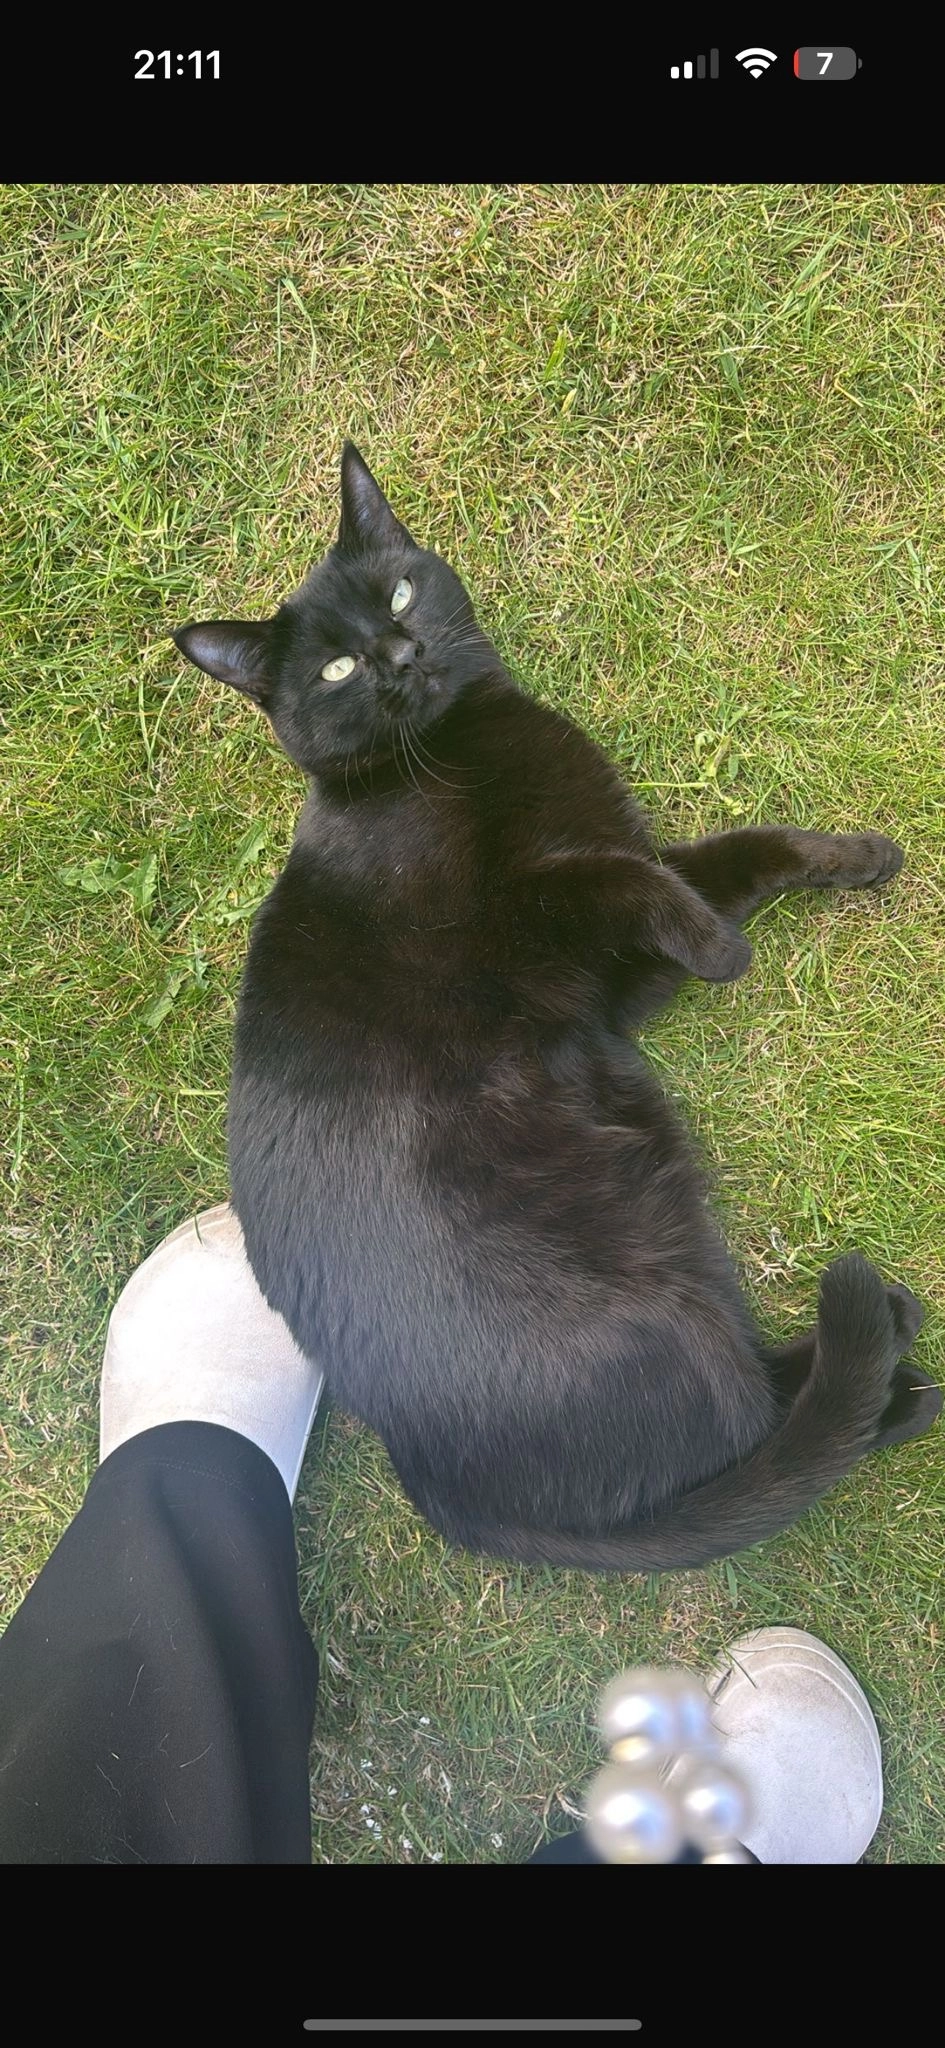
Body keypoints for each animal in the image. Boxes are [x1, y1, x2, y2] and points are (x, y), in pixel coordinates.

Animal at [173, 443, 941, 1571]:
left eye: (398, 592)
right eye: (335, 671)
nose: (397, 652)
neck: (461, 742)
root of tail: (448, 1494)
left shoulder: (614, 978)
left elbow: (729, 853)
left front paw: (854, 855)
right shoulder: (538, 922)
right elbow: (621, 878)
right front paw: (727, 950)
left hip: (666, 1228)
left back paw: (892, 1336)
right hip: (652, 1308)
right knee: (751, 1433)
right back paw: (888, 1360)